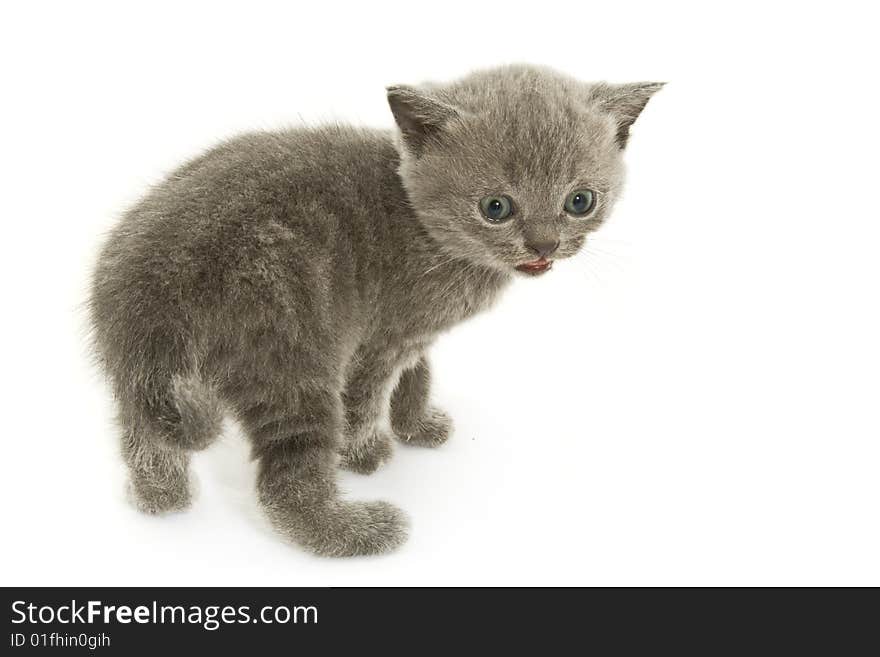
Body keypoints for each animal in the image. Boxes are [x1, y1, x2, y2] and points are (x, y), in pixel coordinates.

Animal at [89, 64, 660, 552]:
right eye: (495, 208)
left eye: (580, 201)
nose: (543, 246)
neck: (422, 224)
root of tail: (152, 288)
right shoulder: (379, 337)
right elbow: (366, 397)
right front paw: (366, 453)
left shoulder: (408, 330)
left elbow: (418, 373)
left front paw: (417, 424)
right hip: (289, 356)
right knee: (284, 483)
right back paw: (359, 530)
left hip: (143, 375)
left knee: (142, 434)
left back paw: (160, 501)